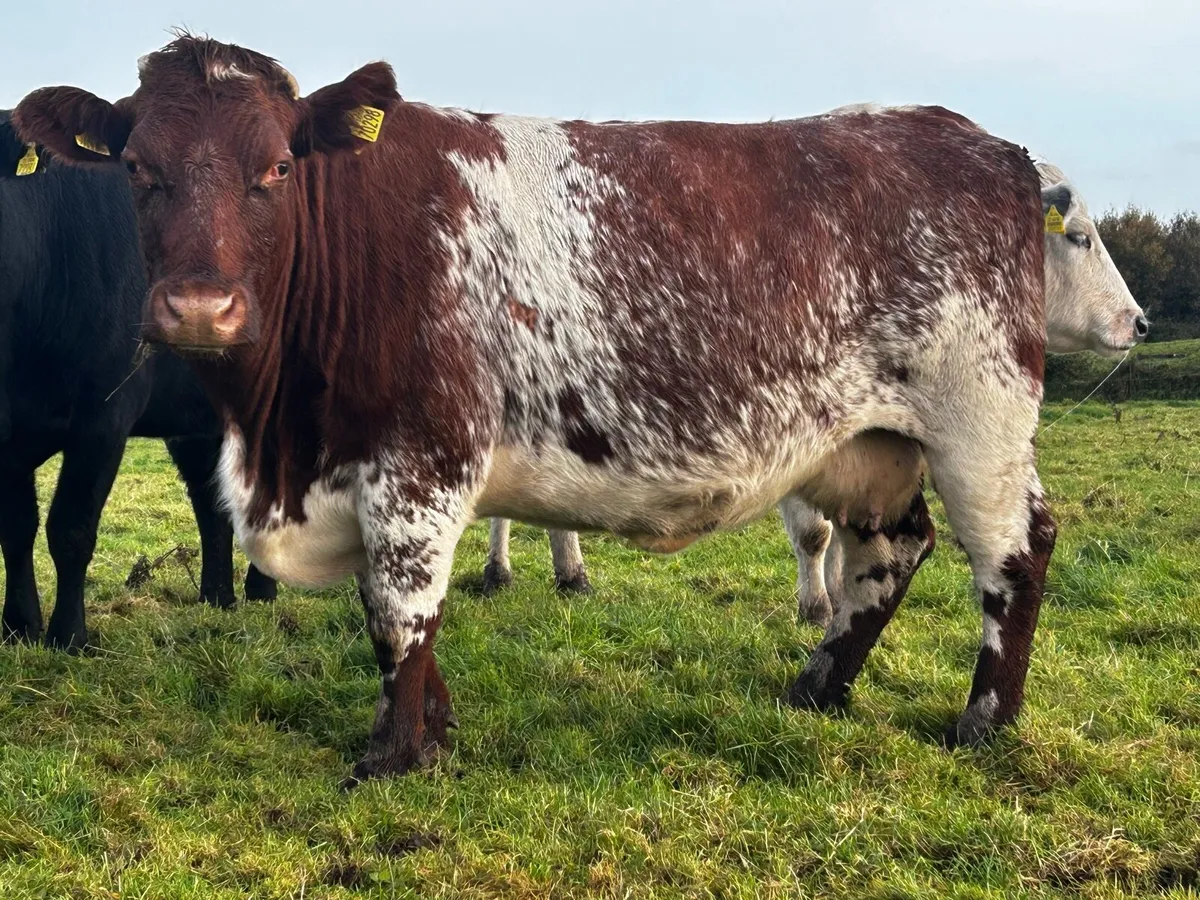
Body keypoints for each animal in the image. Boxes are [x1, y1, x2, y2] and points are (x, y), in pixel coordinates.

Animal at [0, 111, 275, 651]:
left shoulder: (104, 416)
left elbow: (71, 529)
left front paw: (69, 635)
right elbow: (16, 528)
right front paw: (19, 627)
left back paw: (262, 590)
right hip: (197, 421)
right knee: (211, 503)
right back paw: (217, 596)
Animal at [485, 157, 1149, 625]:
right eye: (1079, 236)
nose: (1139, 322)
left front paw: (834, 590)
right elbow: (816, 534)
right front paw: (817, 606)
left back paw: (569, 573)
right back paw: (503, 571)